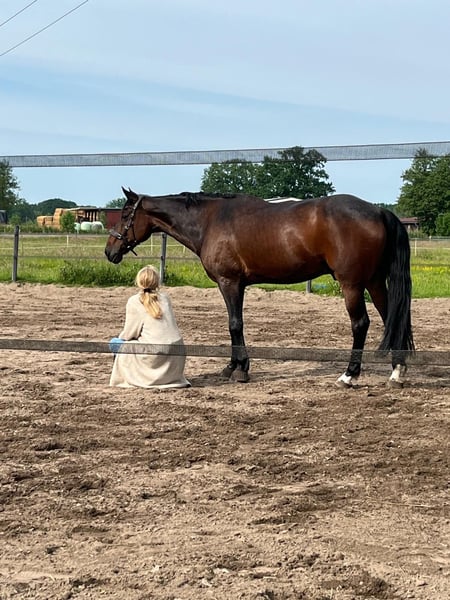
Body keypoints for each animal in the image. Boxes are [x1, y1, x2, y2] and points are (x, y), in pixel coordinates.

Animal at [105, 188, 414, 388]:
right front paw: (234, 366)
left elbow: (234, 324)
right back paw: (397, 372)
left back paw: (349, 375)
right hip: (374, 282)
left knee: (361, 324)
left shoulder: (229, 283)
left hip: (352, 284)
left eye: (125, 214)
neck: (209, 221)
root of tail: (379, 210)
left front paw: (239, 369)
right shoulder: (238, 285)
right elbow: (236, 324)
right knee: (392, 319)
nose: (110, 251)